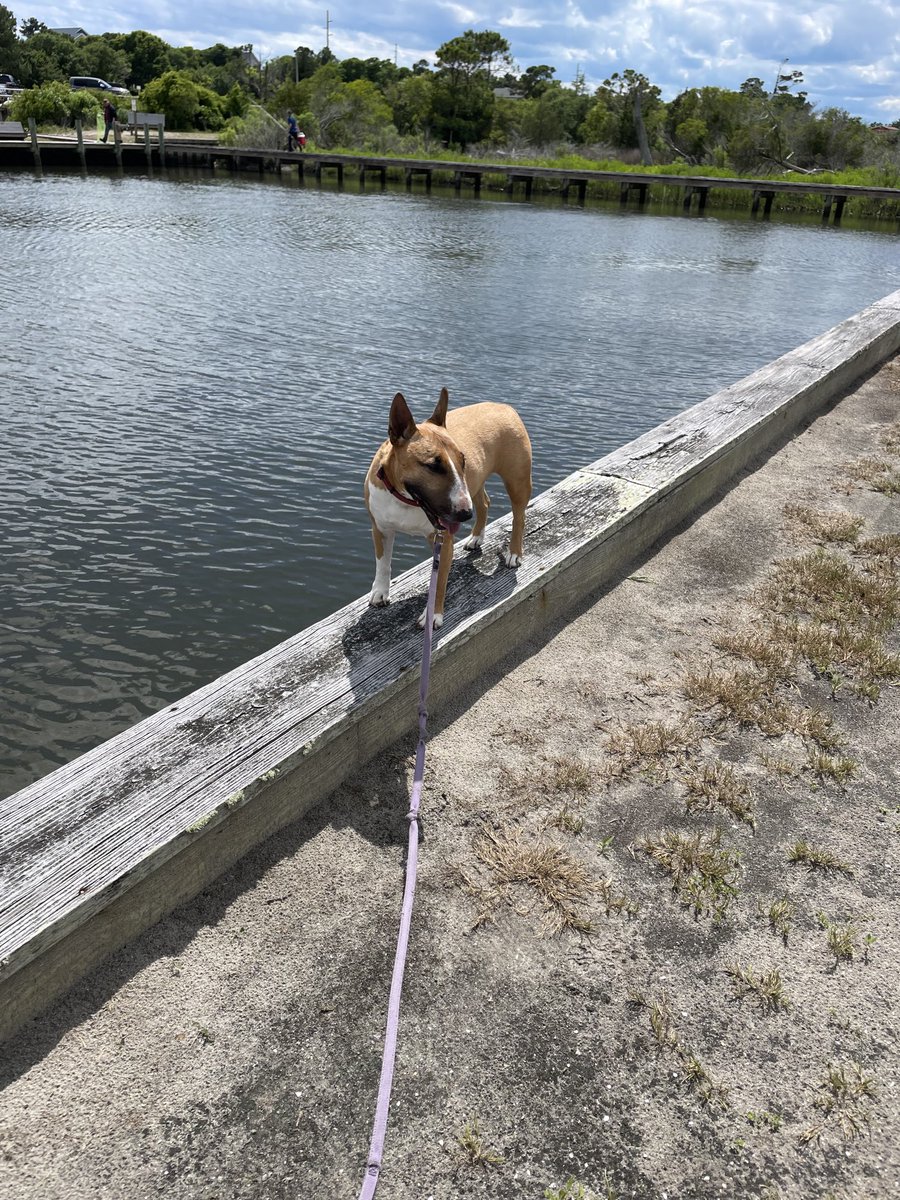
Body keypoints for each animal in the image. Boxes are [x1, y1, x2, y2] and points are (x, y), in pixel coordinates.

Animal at [367, 388, 532, 633]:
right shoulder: (380, 527)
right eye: (433, 465)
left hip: (516, 480)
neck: (405, 499)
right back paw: (476, 537)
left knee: (519, 516)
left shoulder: (442, 541)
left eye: (462, 460)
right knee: (484, 503)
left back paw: (514, 553)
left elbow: (439, 582)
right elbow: (382, 563)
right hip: (475, 482)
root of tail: (503, 406)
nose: (465, 515)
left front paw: (432, 616)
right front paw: (380, 592)